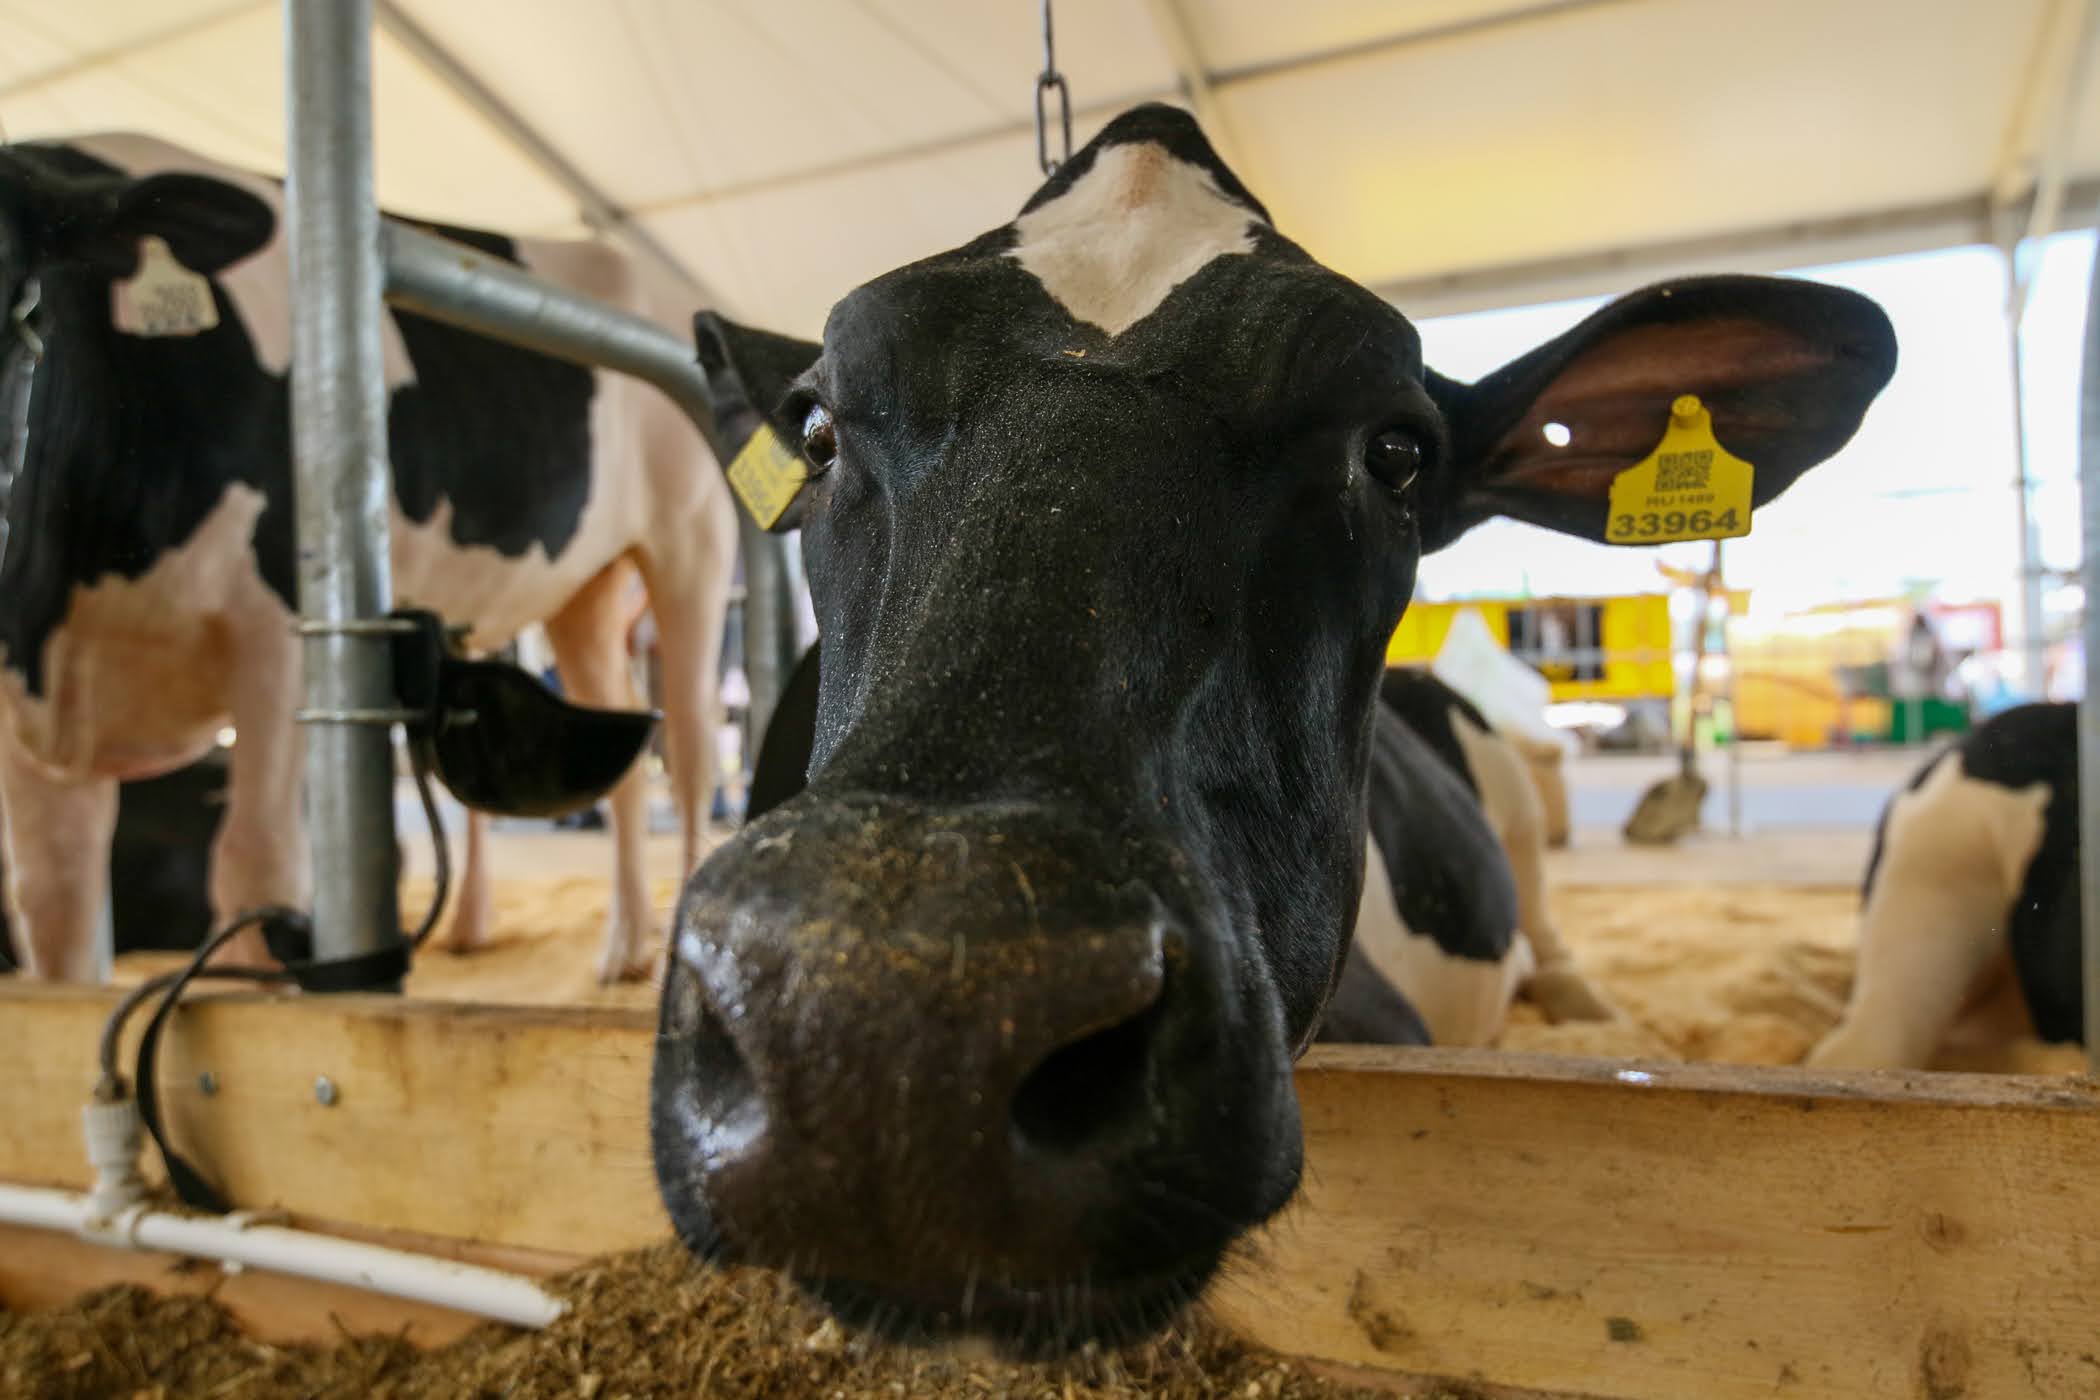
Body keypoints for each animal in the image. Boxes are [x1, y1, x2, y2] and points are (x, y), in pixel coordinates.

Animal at [0, 133, 738, 983]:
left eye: (24, 310)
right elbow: (53, 903)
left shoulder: (277, 636)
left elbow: (258, 866)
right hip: (582, 588)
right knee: (621, 747)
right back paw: (618, 947)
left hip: (690, 547)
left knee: (690, 749)